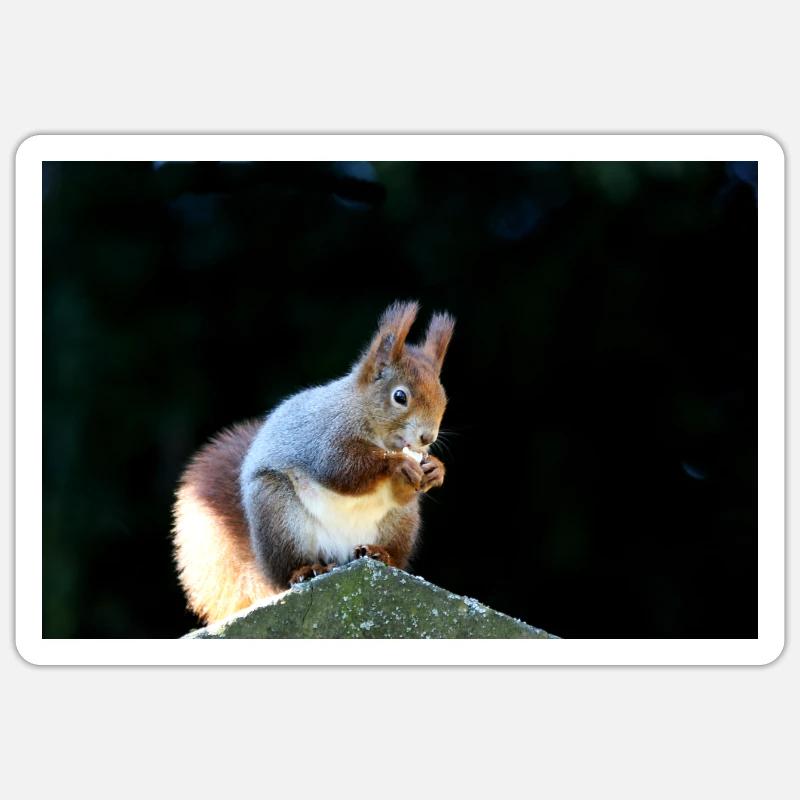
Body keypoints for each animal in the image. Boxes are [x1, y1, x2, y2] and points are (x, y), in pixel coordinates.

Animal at [172, 301, 454, 624]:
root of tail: (340, 553)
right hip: (278, 513)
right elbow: (342, 469)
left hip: (400, 521)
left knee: (392, 548)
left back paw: (380, 553)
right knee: (290, 567)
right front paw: (395, 465)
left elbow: (401, 491)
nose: (427, 436)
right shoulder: (324, 438)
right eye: (400, 396)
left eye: (443, 397)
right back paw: (306, 570)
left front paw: (435, 469)